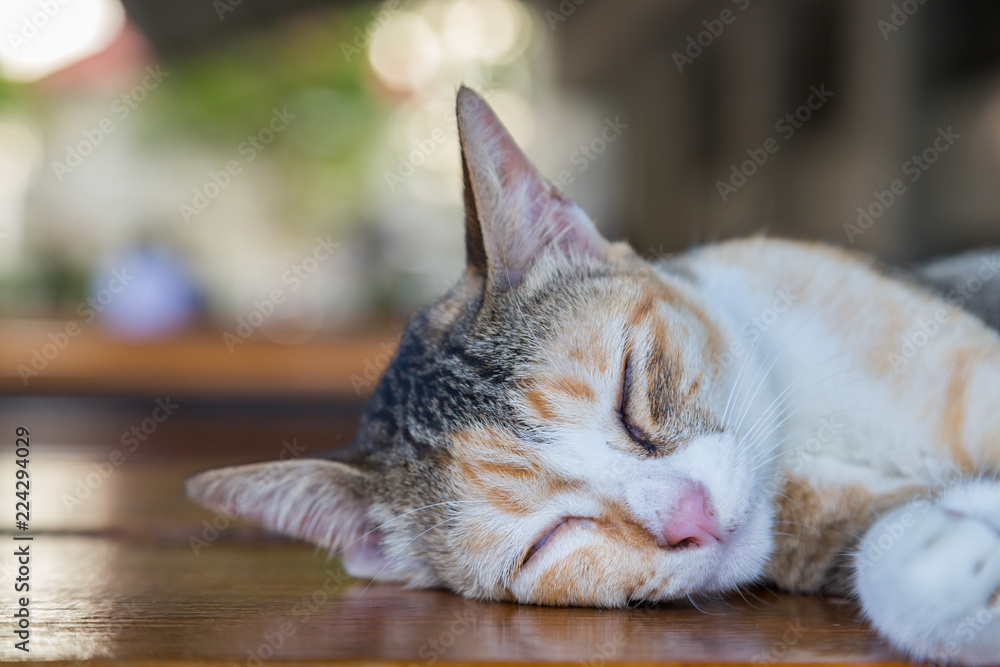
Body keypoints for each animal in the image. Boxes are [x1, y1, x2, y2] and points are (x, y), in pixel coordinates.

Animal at [189, 86, 1000, 664]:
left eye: (631, 390)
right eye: (548, 539)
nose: (689, 518)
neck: (802, 441)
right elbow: (881, 552)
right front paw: (952, 556)